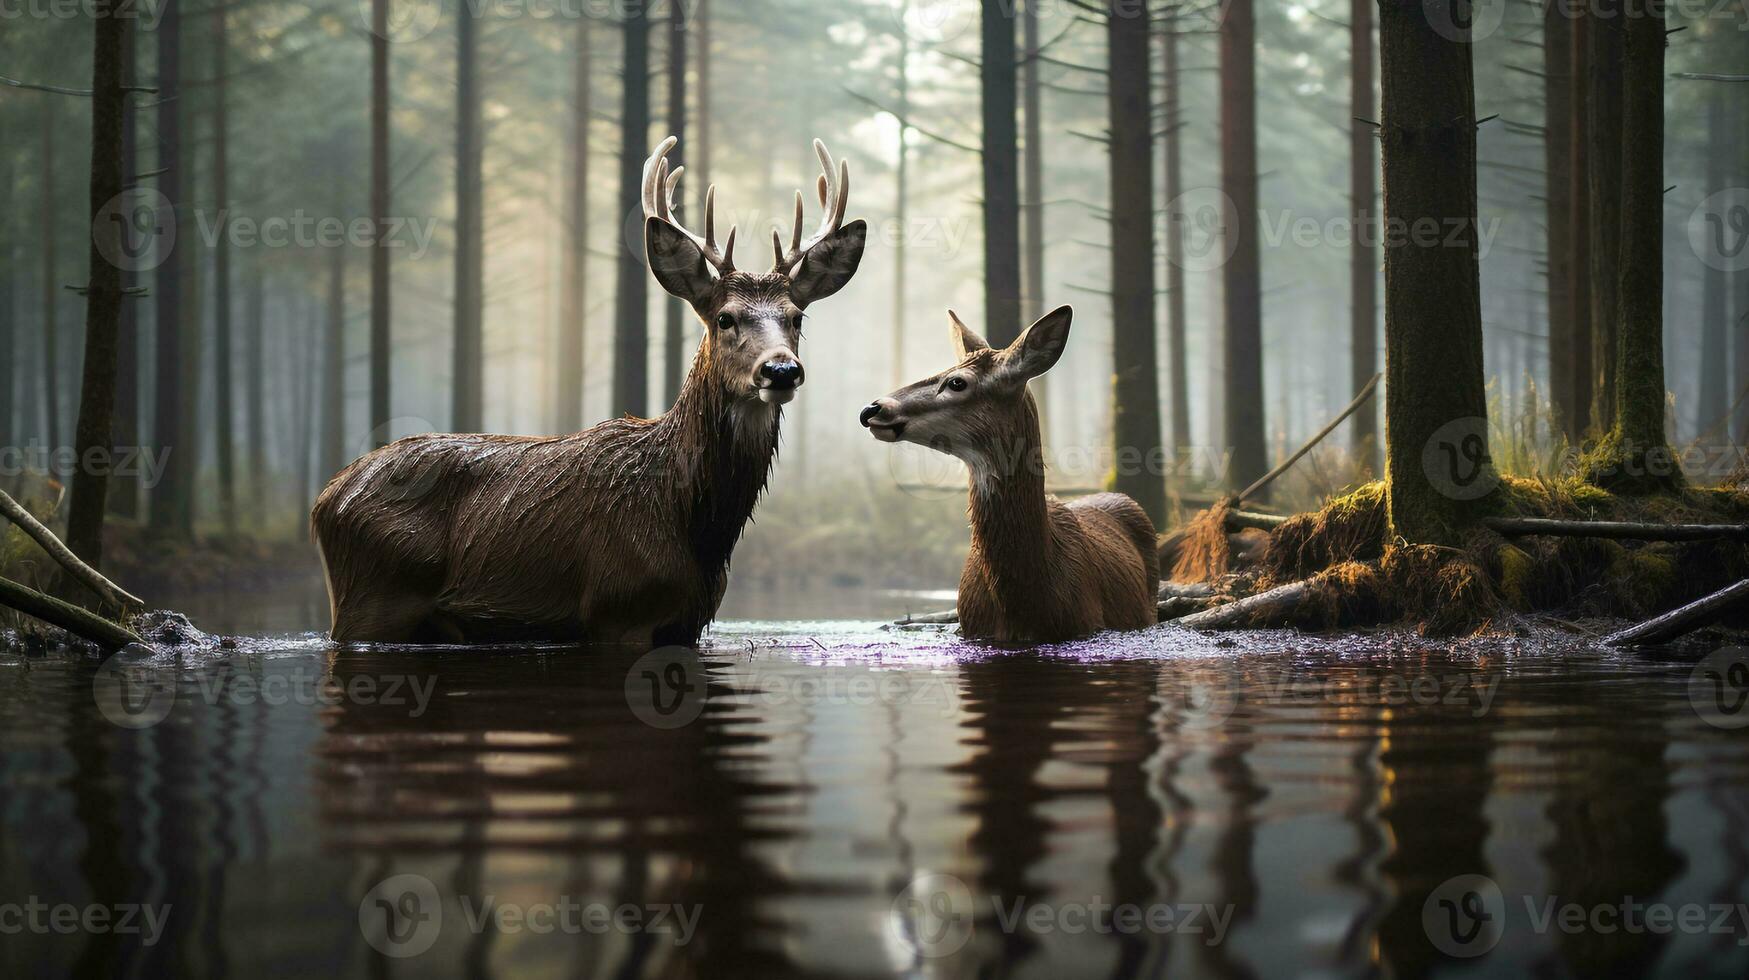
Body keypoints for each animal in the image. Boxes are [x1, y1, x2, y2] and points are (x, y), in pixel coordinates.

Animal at [313, 138, 867, 644]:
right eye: (725, 318)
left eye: (796, 318)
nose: (781, 370)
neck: (691, 522)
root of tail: (325, 499)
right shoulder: (618, 607)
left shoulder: (687, 625)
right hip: (374, 597)